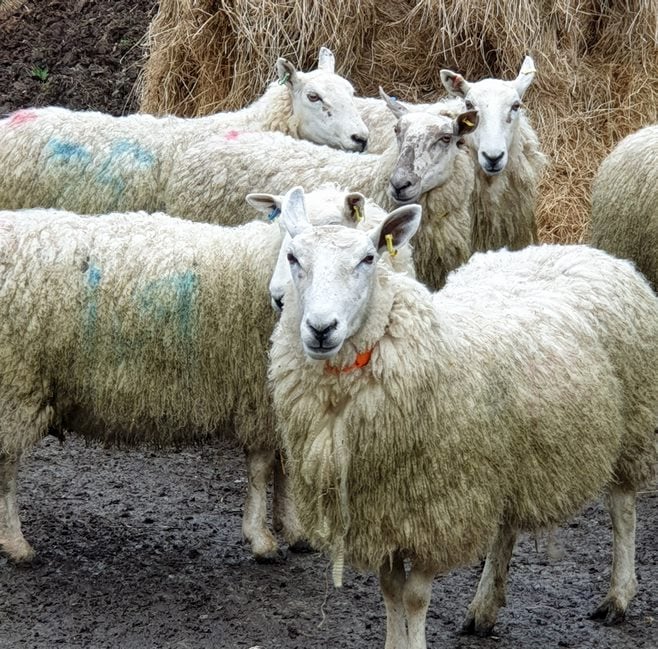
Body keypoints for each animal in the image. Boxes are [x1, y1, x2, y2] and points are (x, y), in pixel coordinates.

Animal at [0, 184, 378, 564]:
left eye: (333, 227)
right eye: (282, 227)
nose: (280, 297)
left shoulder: (283, 401)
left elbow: (283, 466)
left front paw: (295, 531)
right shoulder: (257, 398)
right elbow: (260, 468)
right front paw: (260, 538)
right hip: (15, 384)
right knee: (6, 465)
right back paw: (16, 543)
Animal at [269, 186, 658, 648]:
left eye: (368, 259)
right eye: (294, 258)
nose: (321, 328)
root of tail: (585, 250)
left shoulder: (437, 510)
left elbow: (415, 597)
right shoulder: (380, 511)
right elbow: (390, 590)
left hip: (632, 425)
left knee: (622, 510)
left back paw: (619, 595)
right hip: (508, 458)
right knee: (505, 527)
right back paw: (484, 608)